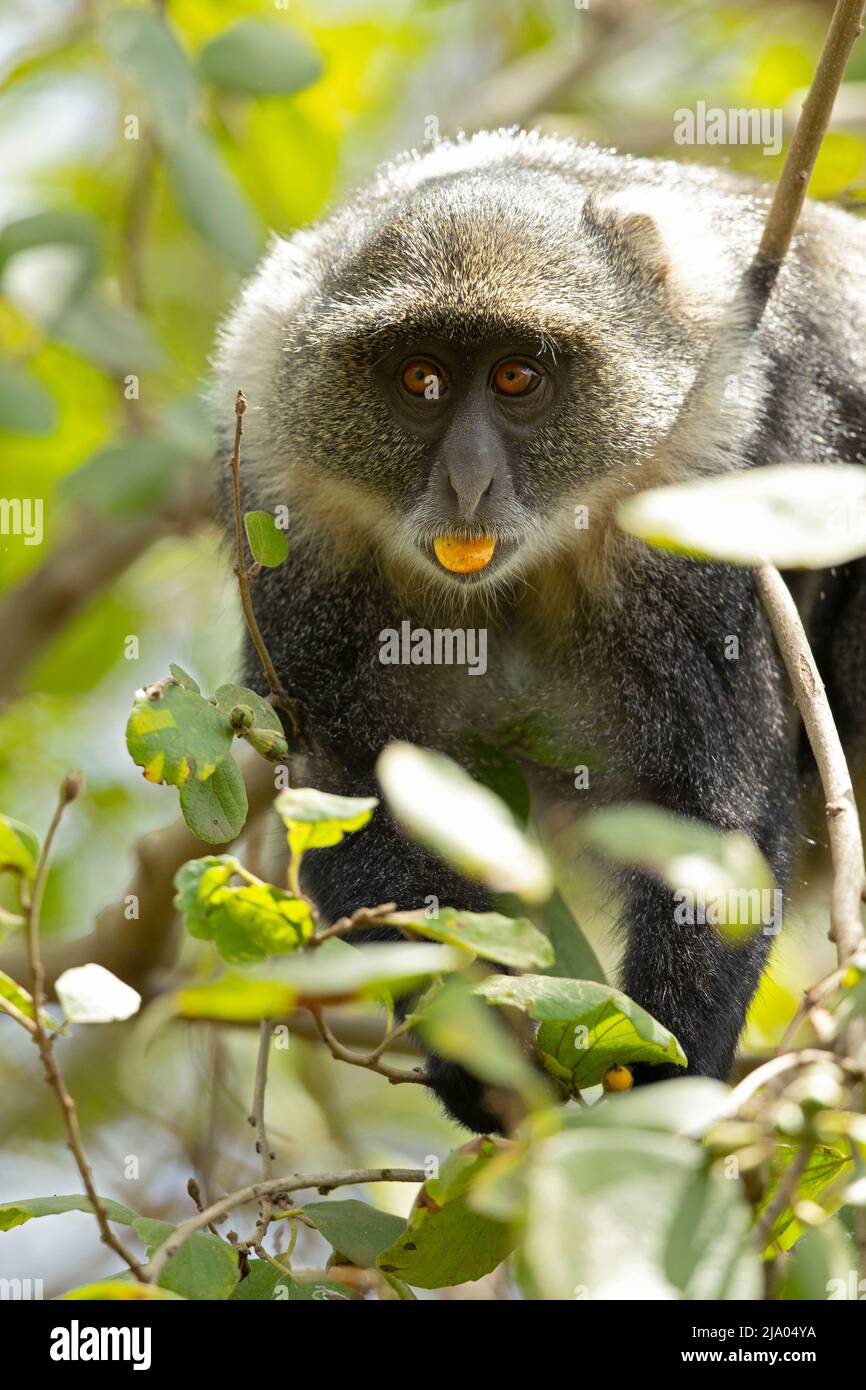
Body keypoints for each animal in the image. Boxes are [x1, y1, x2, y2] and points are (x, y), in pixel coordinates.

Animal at [212, 129, 866, 1133]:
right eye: (421, 379)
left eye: (518, 376)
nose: (470, 481)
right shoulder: (292, 508)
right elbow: (350, 780)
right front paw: (480, 1051)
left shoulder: (707, 477)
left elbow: (713, 818)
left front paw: (663, 1081)